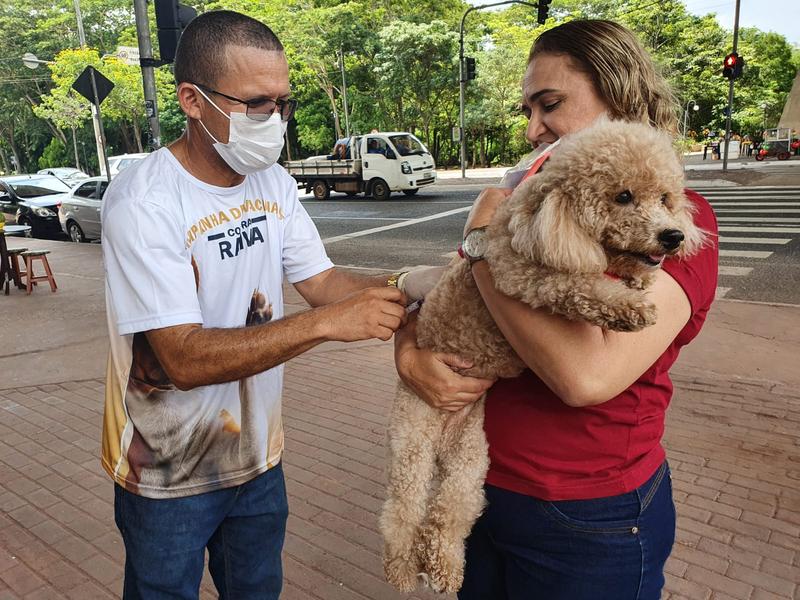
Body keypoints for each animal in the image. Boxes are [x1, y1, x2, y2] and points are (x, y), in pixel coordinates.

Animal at [382, 119, 708, 592]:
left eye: (666, 198)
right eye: (622, 196)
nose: (673, 236)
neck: (541, 218)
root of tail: (441, 440)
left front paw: (638, 281)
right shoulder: (522, 273)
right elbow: (578, 285)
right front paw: (628, 306)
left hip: (469, 461)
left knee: (446, 517)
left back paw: (446, 566)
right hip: (412, 441)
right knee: (400, 513)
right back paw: (404, 569)